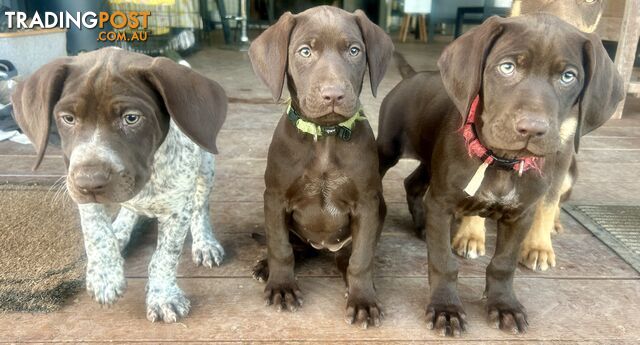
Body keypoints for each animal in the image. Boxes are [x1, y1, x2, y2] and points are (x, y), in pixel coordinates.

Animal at [11, 47, 228, 322]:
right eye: (68, 118)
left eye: (131, 118)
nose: (90, 182)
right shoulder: (80, 187)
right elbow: (96, 232)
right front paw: (104, 275)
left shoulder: (177, 209)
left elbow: (164, 256)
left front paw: (162, 295)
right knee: (127, 211)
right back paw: (120, 232)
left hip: (206, 168)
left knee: (200, 206)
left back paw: (204, 243)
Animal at [248, 5, 392, 328]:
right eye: (305, 51)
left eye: (354, 50)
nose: (333, 94)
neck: (325, 137)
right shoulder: (275, 198)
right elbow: (280, 248)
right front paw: (282, 286)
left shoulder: (367, 203)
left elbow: (361, 259)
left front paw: (363, 299)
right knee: (293, 246)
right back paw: (266, 266)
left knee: (349, 257)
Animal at [378, 14, 624, 334]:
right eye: (507, 67)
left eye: (568, 76)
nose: (532, 129)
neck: (503, 162)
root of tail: (414, 75)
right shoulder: (442, 204)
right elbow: (444, 262)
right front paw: (446, 307)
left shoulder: (521, 214)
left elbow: (504, 264)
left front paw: (504, 304)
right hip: (389, 149)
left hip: (432, 161)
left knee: (413, 184)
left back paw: (422, 226)